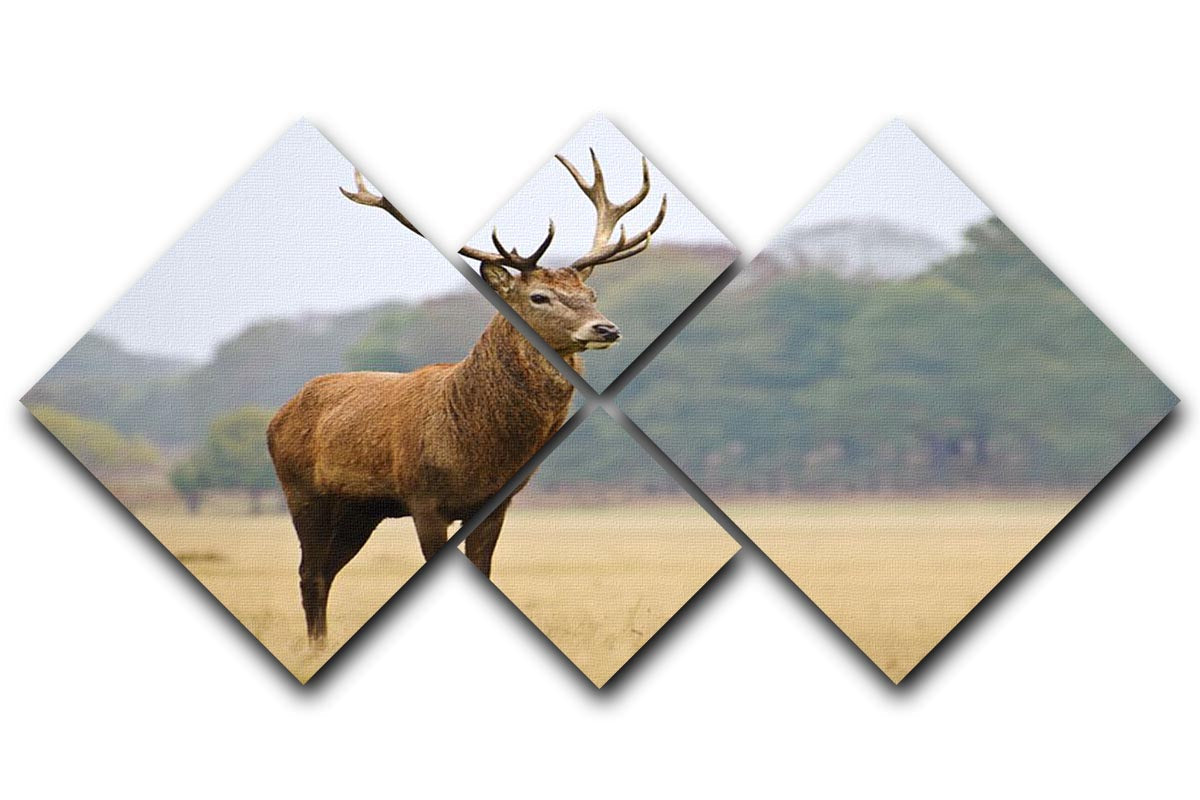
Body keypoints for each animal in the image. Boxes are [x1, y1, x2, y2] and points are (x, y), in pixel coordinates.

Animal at [267, 151, 667, 643]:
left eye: (590, 292)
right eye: (539, 296)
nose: (606, 328)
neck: (478, 447)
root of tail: (278, 416)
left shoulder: (496, 503)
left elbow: (484, 570)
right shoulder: (422, 498)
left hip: (360, 509)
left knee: (326, 570)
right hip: (302, 492)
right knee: (310, 573)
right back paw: (316, 647)